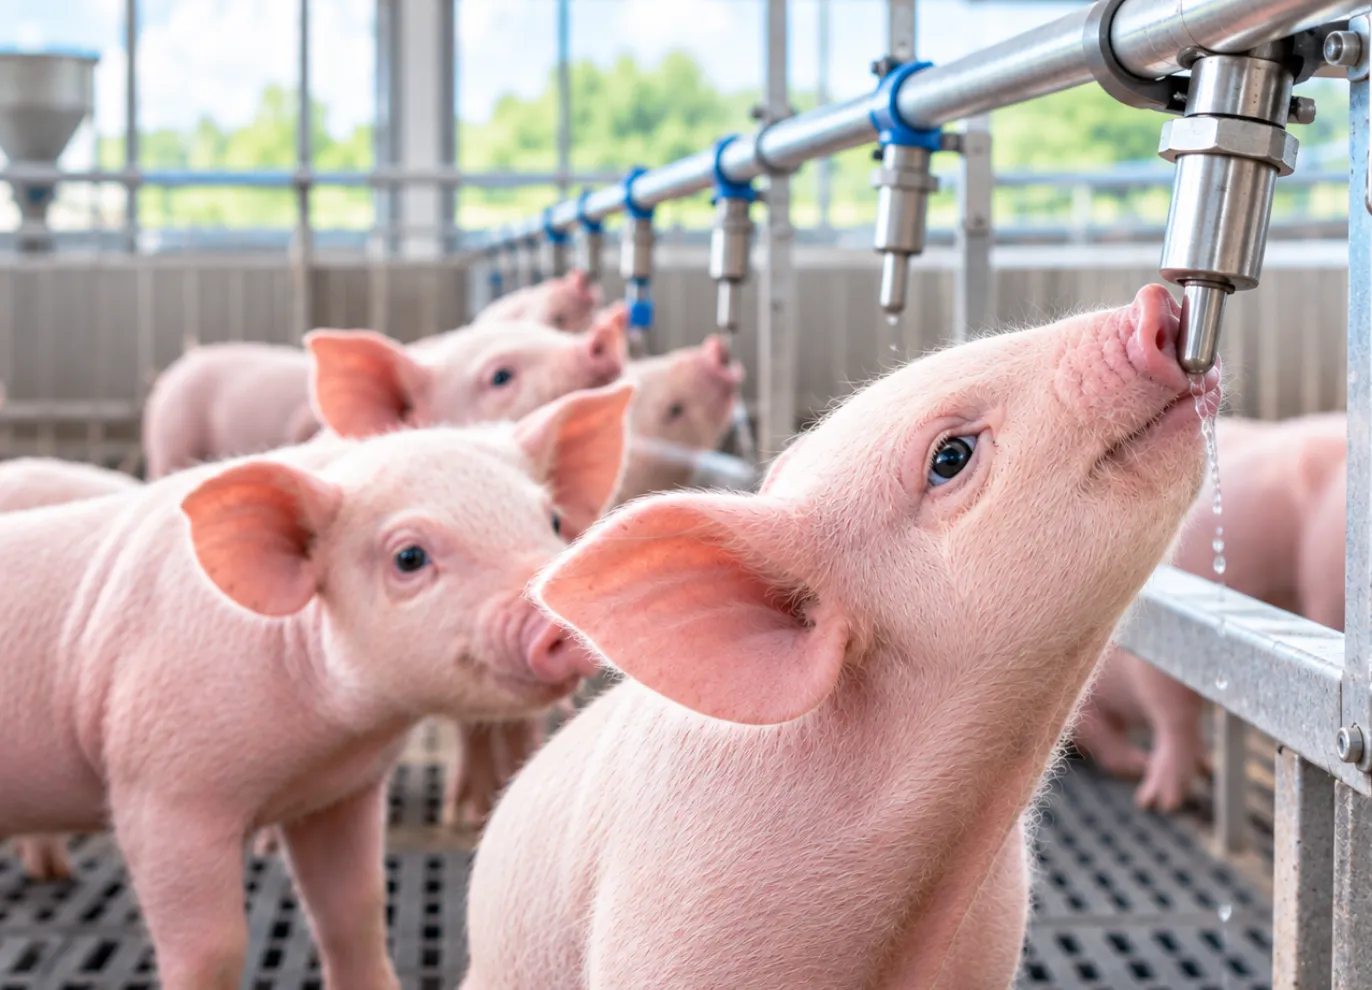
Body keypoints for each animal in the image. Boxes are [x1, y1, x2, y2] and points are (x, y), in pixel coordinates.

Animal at [0, 346, 633, 990]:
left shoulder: (341, 792)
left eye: (551, 521)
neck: (323, 739)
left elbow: (355, 911)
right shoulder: (159, 790)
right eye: (409, 557)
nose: (559, 620)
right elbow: (211, 947)